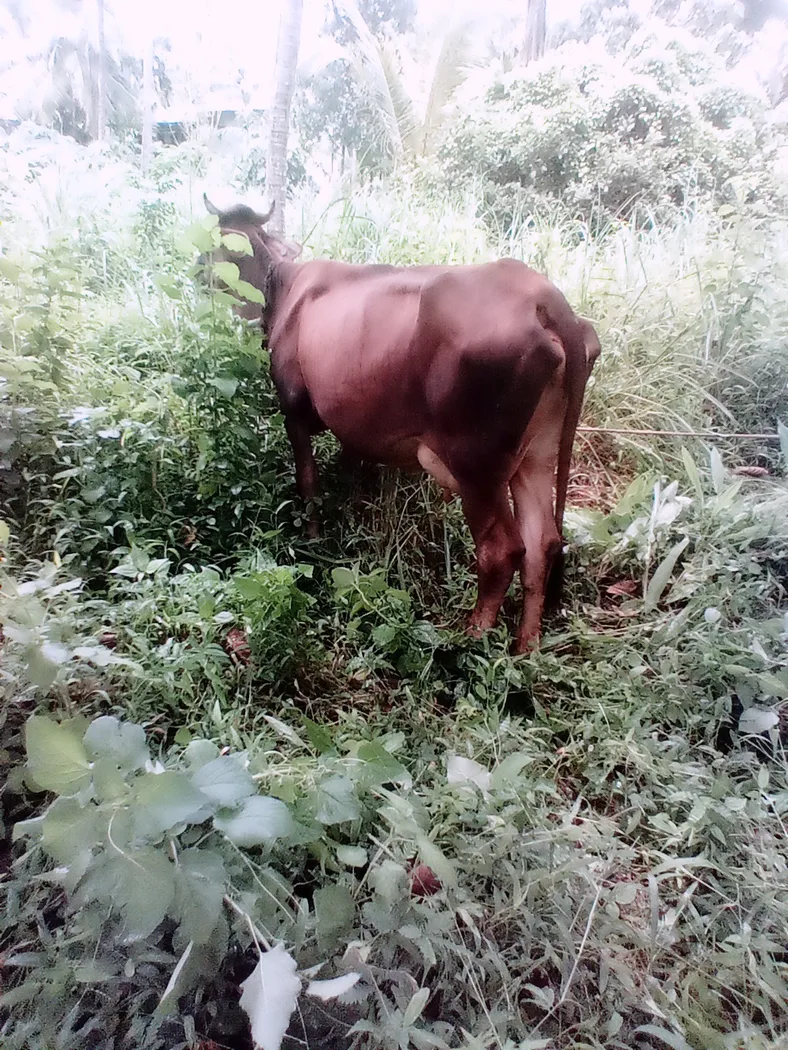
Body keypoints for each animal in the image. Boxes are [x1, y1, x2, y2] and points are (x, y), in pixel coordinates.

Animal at [201, 195, 601, 653]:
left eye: (222, 246)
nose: (198, 272)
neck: (283, 288)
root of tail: (546, 299)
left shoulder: (294, 408)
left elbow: (309, 483)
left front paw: (313, 541)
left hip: (476, 462)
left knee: (501, 550)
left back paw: (470, 638)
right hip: (537, 453)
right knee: (542, 544)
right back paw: (524, 649)